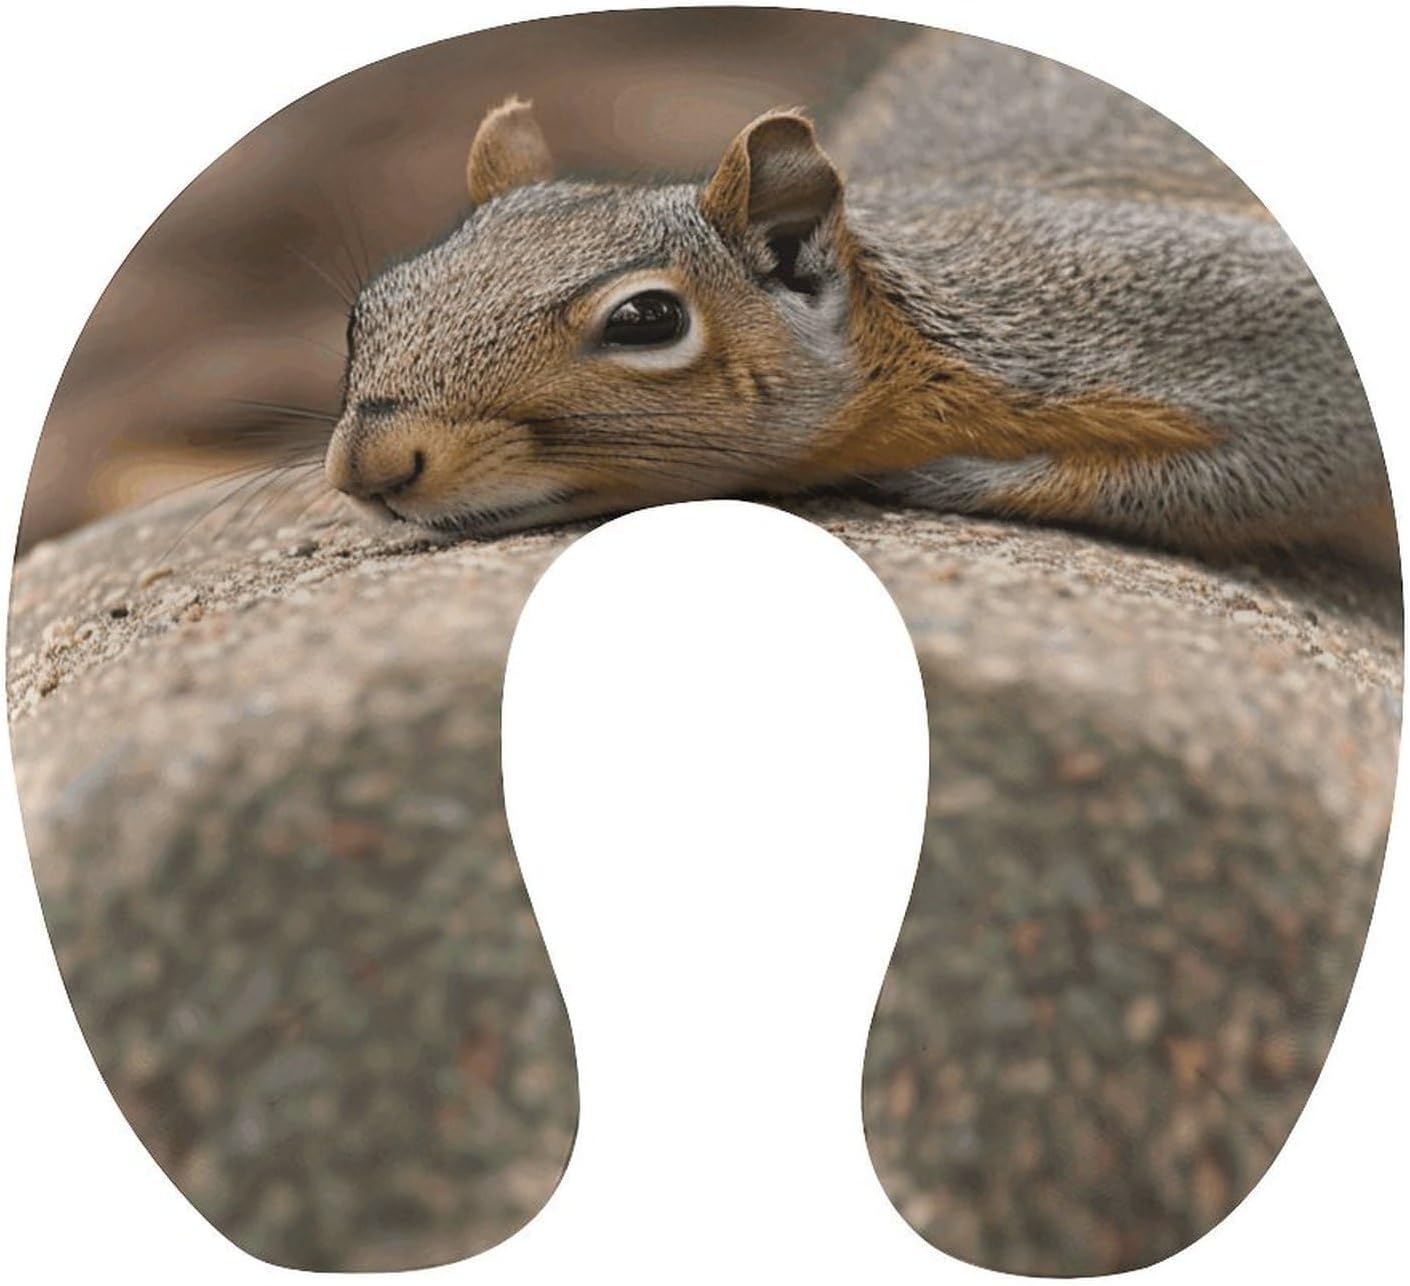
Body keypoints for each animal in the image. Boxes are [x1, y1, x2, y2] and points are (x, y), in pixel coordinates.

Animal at [323, 30, 1396, 568]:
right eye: (366, 308)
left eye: (647, 320)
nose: (369, 465)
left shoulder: (1227, 321)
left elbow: (1299, 464)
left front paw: (946, 479)